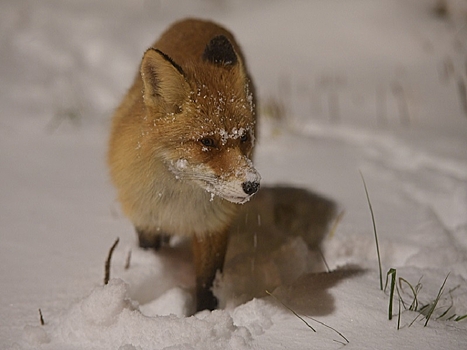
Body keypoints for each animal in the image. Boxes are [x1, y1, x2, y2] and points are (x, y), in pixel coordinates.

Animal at [108, 18, 262, 312]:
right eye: (207, 142)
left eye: (244, 137)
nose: (252, 185)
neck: (179, 203)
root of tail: (199, 19)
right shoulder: (146, 220)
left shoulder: (212, 227)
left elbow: (206, 283)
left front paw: (205, 314)